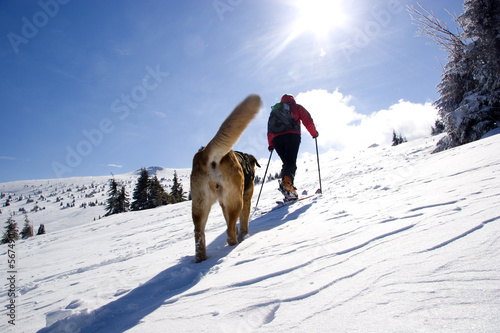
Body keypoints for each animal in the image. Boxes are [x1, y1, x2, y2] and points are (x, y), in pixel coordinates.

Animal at [190, 94, 262, 262]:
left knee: (199, 235)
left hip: (200, 205)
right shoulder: (246, 198)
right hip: (236, 200)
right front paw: (244, 235)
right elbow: (243, 222)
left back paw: (202, 259)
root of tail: (205, 155)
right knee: (229, 233)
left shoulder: (223, 204)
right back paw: (234, 244)